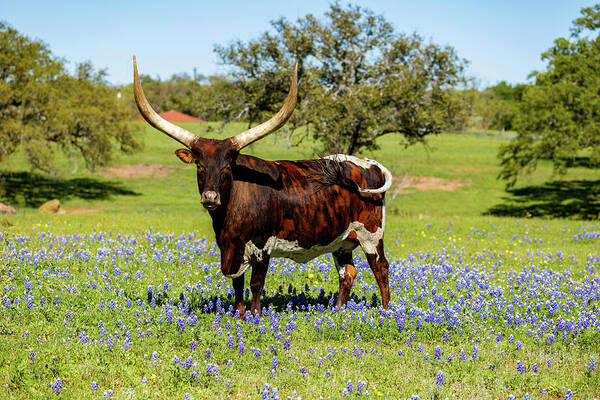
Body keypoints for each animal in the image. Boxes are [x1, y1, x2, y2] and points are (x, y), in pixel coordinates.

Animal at [133, 56, 392, 318]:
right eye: (200, 166)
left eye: (228, 166)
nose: (210, 197)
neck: (229, 216)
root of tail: (369, 164)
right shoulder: (230, 249)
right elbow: (237, 284)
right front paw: (239, 315)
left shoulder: (262, 246)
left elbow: (256, 283)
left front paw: (254, 316)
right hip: (342, 241)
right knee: (347, 272)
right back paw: (338, 311)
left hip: (371, 235)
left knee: (381, 267)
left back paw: (386, 310)